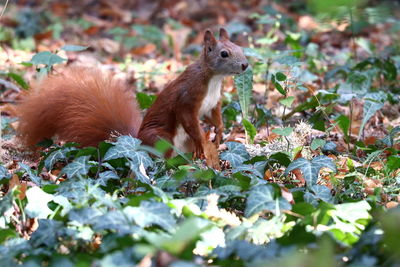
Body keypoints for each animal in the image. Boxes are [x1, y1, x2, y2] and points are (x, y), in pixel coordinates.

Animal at [17, 28, 248, 159]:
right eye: (224, 54)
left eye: (239, 47)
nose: (245, 65)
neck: (214, 79)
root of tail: (136, 141)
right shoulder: (187, 97)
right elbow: (189, 120)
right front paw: (203, 140)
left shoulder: (212, 103)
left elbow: (214, 117)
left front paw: (219, 131)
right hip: (160, 138)